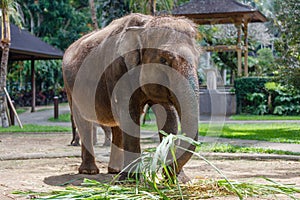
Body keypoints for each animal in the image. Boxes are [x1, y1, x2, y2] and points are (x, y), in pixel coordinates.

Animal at [62, 12, 200, 178]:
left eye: (198, 59)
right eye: (163, 60)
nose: (169, 172)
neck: (145, 25)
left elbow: (168, 117)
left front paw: (178, 179)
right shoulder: (117, 70)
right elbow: (129, 115)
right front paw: (132, 178)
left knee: (115, 125)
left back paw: (114, 170)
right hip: (70, 88)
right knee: (83, 122)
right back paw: (89, 172)